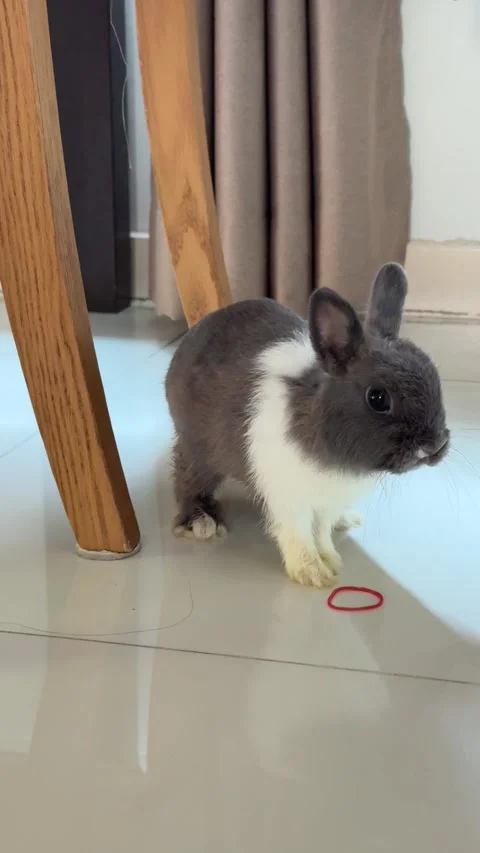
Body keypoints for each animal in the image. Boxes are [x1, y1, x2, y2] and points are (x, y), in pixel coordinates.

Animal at [165, 263, 449, 588]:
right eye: (378, 398)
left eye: (434, 376)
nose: (435, 446)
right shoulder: (290, 497)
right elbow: (298, 534)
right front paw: (312, 573)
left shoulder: (326, 500)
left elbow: (321, 531)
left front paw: (329, 559)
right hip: (197, 448)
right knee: (188, 480)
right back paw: (201, 523)